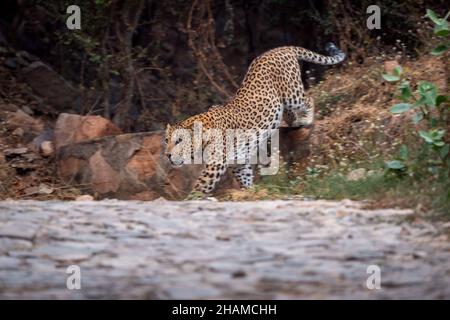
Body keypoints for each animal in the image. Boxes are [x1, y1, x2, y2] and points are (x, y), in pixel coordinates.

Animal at [165, 42, 344, 195]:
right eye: (166, 141)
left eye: (179, 141)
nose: (167, 155)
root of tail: (281, 48)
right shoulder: (238, 163)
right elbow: (246, 178)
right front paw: (251, 192)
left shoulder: (215, 164)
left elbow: (200, 186)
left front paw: (189, 199)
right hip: (283, 100)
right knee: (289, 112)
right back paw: (293, 122)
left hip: (292, 94)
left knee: (308, 99)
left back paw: (306, 119)